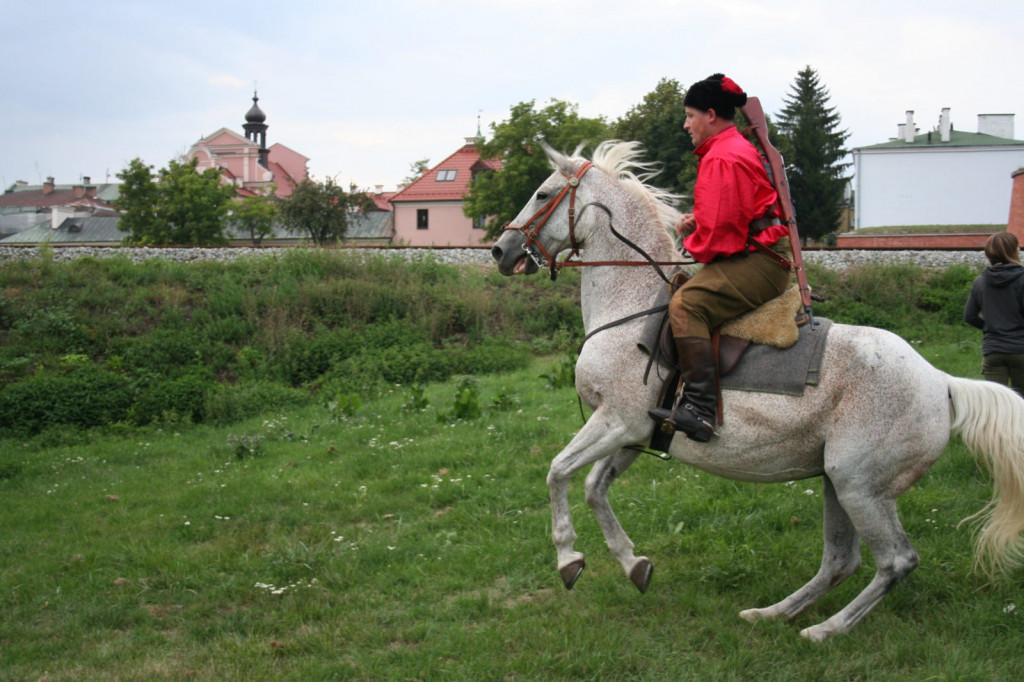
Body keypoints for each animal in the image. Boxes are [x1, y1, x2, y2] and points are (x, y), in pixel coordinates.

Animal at [489, 138, 1024, 638]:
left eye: (542, 193)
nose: (500, 251)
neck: (630, 308)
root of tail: (942, 382)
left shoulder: (617, 421)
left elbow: (558, 473)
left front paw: (568, 558)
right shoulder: (634, 432)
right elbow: (594, 488)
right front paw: (632, 563)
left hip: (860, 486)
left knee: (895, 562)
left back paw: (825, 630)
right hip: (837, 481)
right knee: (841, 561)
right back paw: (773, 614)